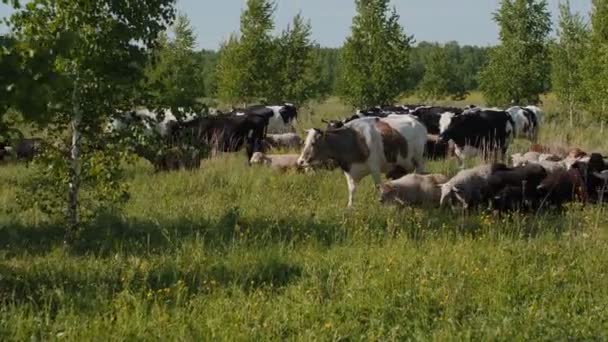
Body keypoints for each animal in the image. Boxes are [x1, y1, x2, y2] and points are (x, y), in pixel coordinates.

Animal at [296, 115, 426, 207]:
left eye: (313, 143)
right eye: (304, 142)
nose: (300, 161)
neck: (355, 140)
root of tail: (417, 122)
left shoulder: (375, 168)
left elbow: (378, 187)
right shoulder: (349, 170)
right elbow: (351, 191)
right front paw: (350, 208)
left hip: (419, 161)